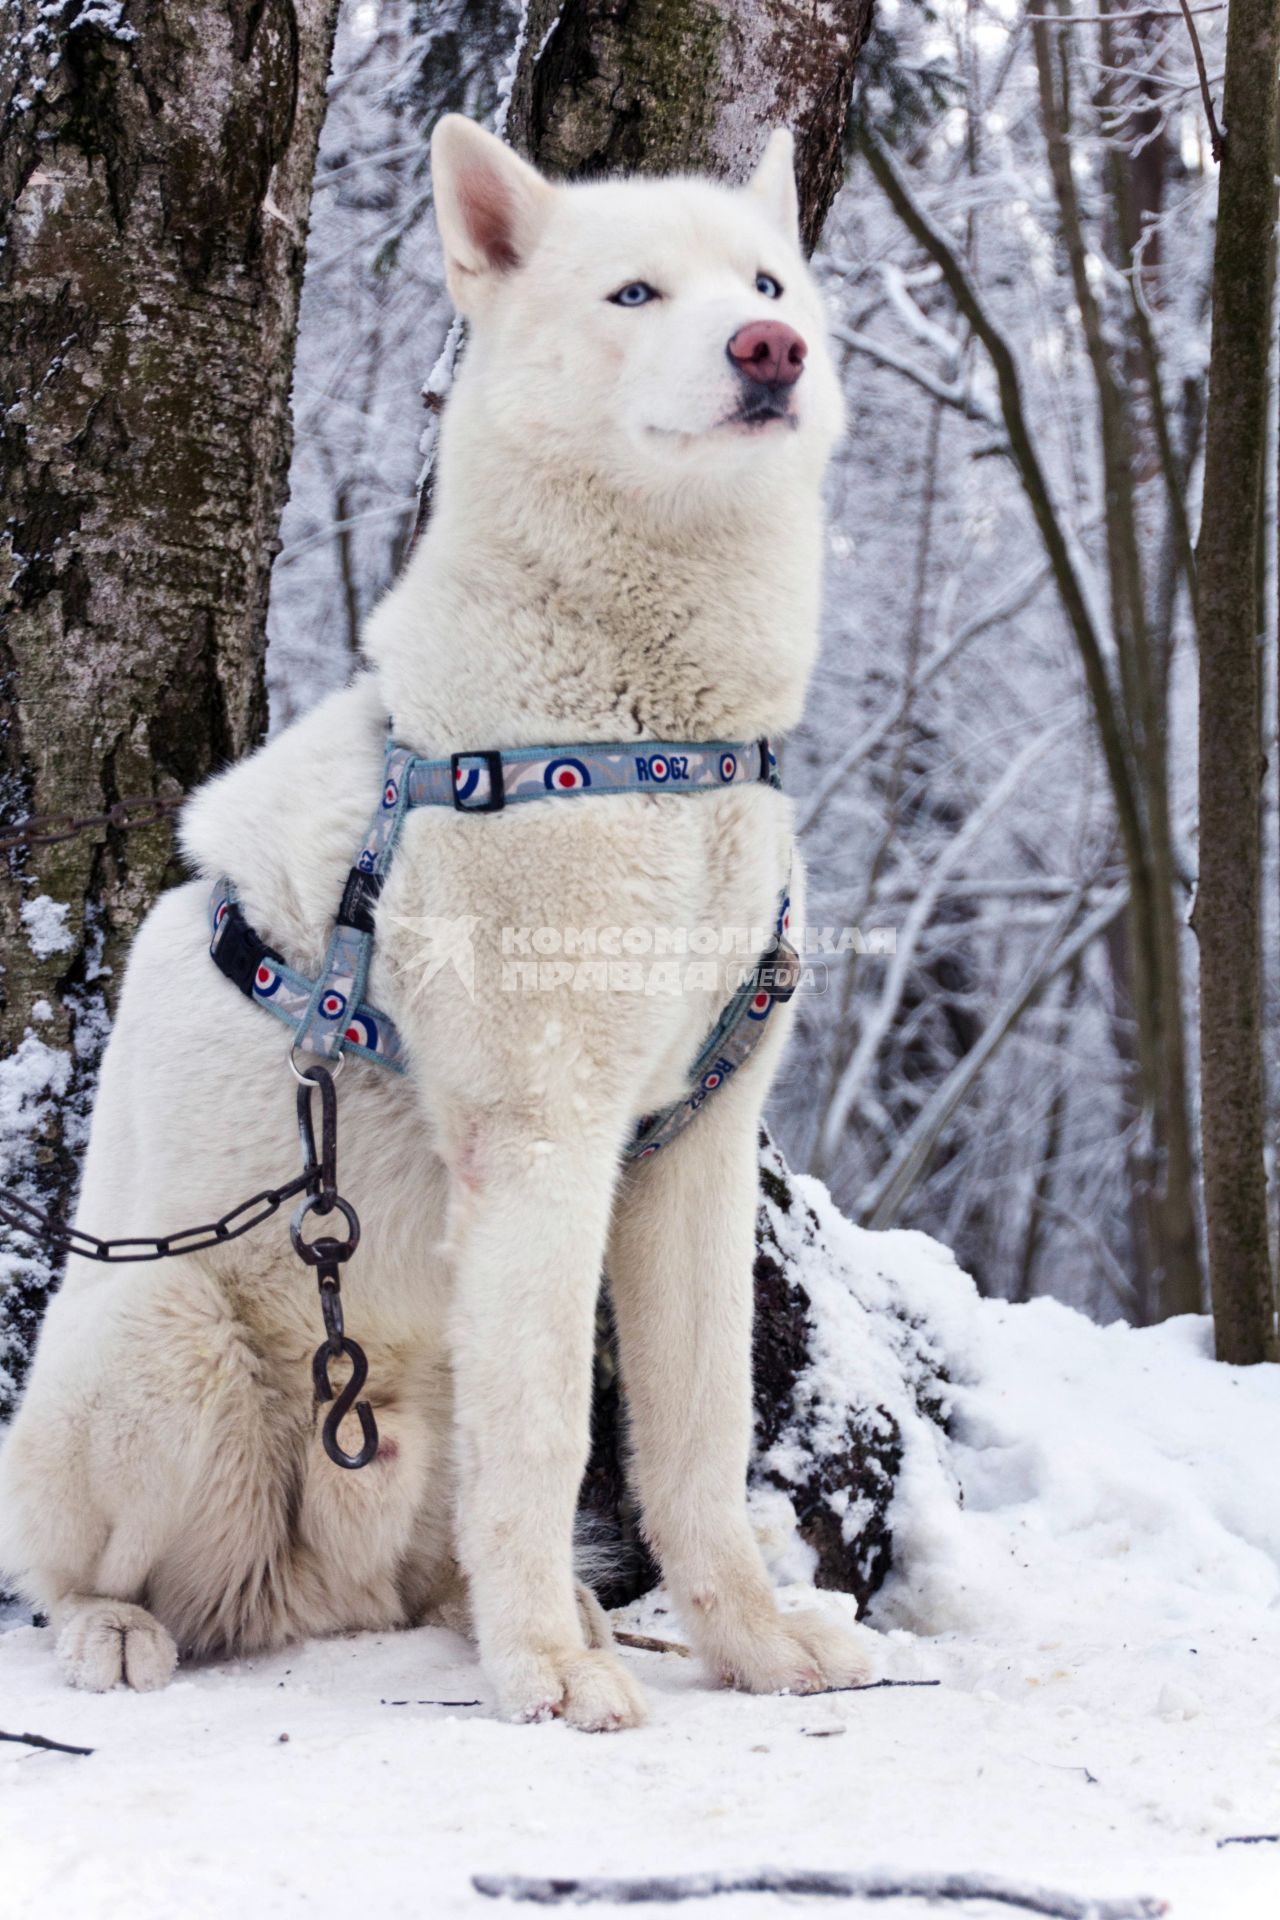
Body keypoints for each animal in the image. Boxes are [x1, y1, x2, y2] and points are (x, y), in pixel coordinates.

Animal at [0, 120, 871, 1743]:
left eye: (768, 284)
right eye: (635, 292)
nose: (769, 350)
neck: (647, 735)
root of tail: (312, 1593)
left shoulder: (697, 1158)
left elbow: (698, 1447)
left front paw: (751, 1646)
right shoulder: (541, 1146)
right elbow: (550, 1453)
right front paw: (547, 1685)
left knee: (442, 1553)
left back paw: (532, 1616)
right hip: (167, 1341)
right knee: (90, 1576)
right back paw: (124, 1634)